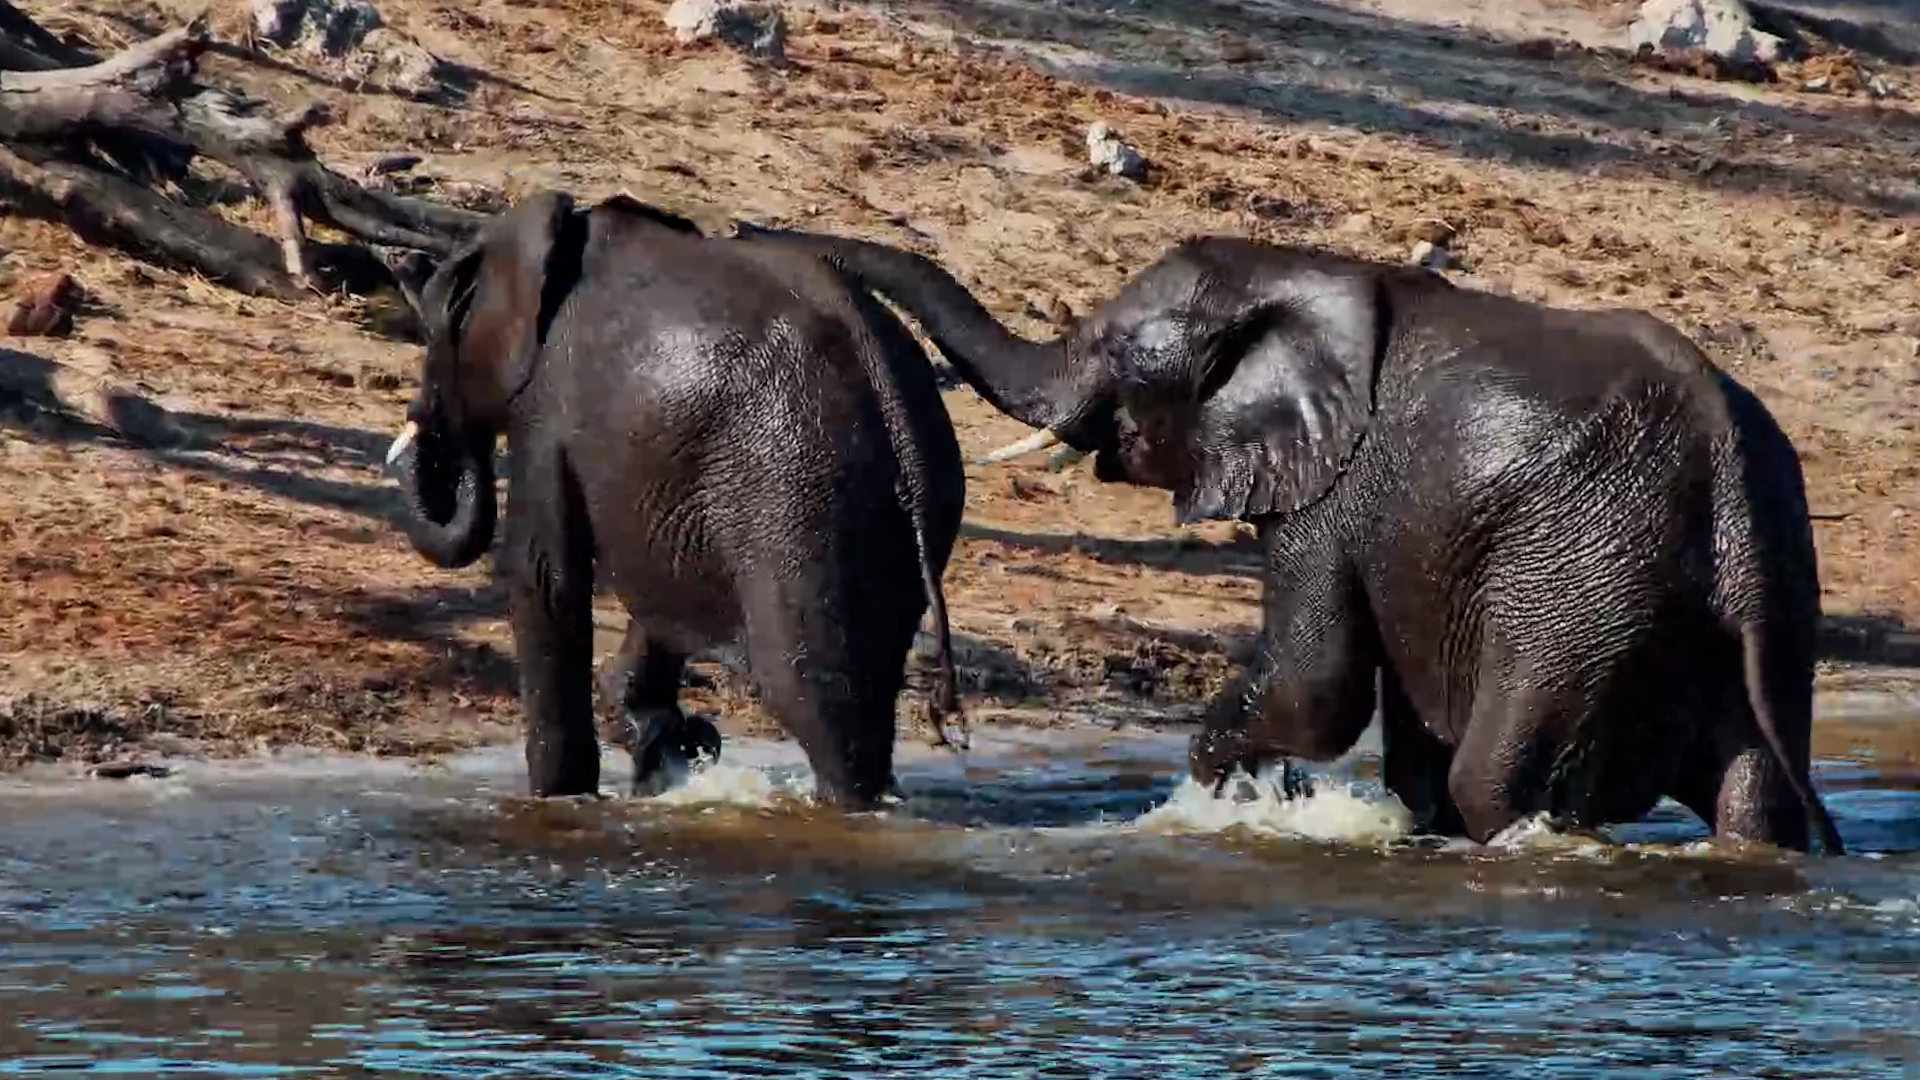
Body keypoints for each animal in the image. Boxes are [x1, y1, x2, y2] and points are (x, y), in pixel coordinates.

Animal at [380, 190, 968, 808]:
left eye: (440, 326)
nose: (427, 428)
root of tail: (893, 401)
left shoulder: (548, 405)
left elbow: (543, 577)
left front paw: (559, 800)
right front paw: (668, 743)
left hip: (803, 496)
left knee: (810, 693)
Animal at [729, 221, 1846, 854]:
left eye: (1117, 354)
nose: (746, 230)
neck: (1306, 275)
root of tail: (1726, 470)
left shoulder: (1334, 493)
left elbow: (1319, 685)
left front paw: (1220, 793)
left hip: (1579, 576)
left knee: (1497, 776)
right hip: (1769, 590)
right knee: (1757, 791)